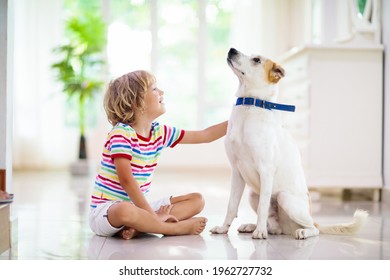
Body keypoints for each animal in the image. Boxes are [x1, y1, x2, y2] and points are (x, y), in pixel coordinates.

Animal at [212, 47, 368, 238]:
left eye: (256, 60)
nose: (231, 49)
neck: (250, 107)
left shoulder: (266, 170)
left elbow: (263, 207)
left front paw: (260, 232)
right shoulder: (236, 172)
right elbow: (231, 206)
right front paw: (223, 228)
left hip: (284, 198)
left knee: (314, 228)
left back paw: (300, 232)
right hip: (252, 194)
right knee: (274, 226)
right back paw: (254, 226)